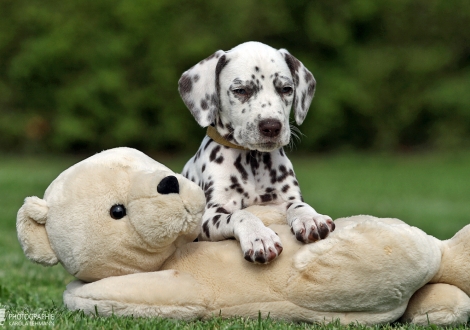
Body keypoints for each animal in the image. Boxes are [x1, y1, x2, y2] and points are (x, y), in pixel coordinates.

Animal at [179, 42, 334, 262]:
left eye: (286, 89)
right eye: (241, 90)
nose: (271, 126)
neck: (252, 161)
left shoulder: (285, 199)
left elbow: (298, 205)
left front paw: (310, 218)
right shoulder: (209, 217)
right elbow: (241, 214)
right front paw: (259, 237)